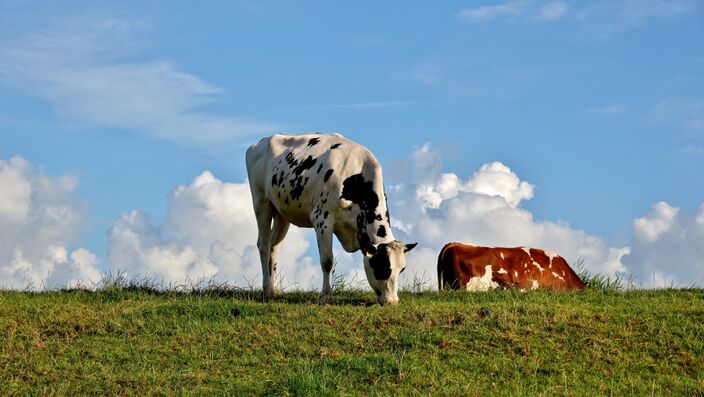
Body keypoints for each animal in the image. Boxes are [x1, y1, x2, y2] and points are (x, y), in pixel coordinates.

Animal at [245, 132, 416, 304]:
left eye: (402, 269)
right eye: (383, 266)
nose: (392, 302)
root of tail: (261, 142)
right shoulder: (322, 218)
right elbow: (327, 261)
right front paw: (326, 296)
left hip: (282, 212)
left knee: (274, 247)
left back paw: (275, 290)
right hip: (261, 203)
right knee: (264, 245)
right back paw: (267, 290)